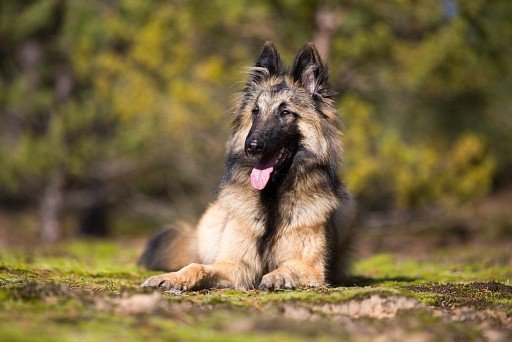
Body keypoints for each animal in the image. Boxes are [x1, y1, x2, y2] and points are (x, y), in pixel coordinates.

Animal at [140, 40, 356, 292]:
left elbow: (288, 267)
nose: (251, 146)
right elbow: (197, 267)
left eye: (285, 112)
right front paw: (171, 278)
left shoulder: (311, 268)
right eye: (255, 111)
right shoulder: (233, 266)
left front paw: (276, 277)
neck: (271, 197)